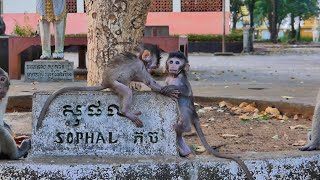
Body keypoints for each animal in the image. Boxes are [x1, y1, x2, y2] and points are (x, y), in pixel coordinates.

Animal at [37, 44, 180, 129]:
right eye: (152, 65)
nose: (150, 70)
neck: (139, 57)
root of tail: (104, 81)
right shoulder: (140, 66)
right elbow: (150, 83)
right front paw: (166, 91)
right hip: (113, 83)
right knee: (126, 91)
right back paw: (126, 112)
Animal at [161, 51, 254, 180]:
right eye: (171, 61)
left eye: (177, 62)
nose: (173, 66)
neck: (174, 77)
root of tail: (195, 115)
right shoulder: (168, 78)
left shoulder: (182, 80)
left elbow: (186, 91)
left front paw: (170, 88)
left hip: (188, 112)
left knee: (184, 117)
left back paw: (184, 129)